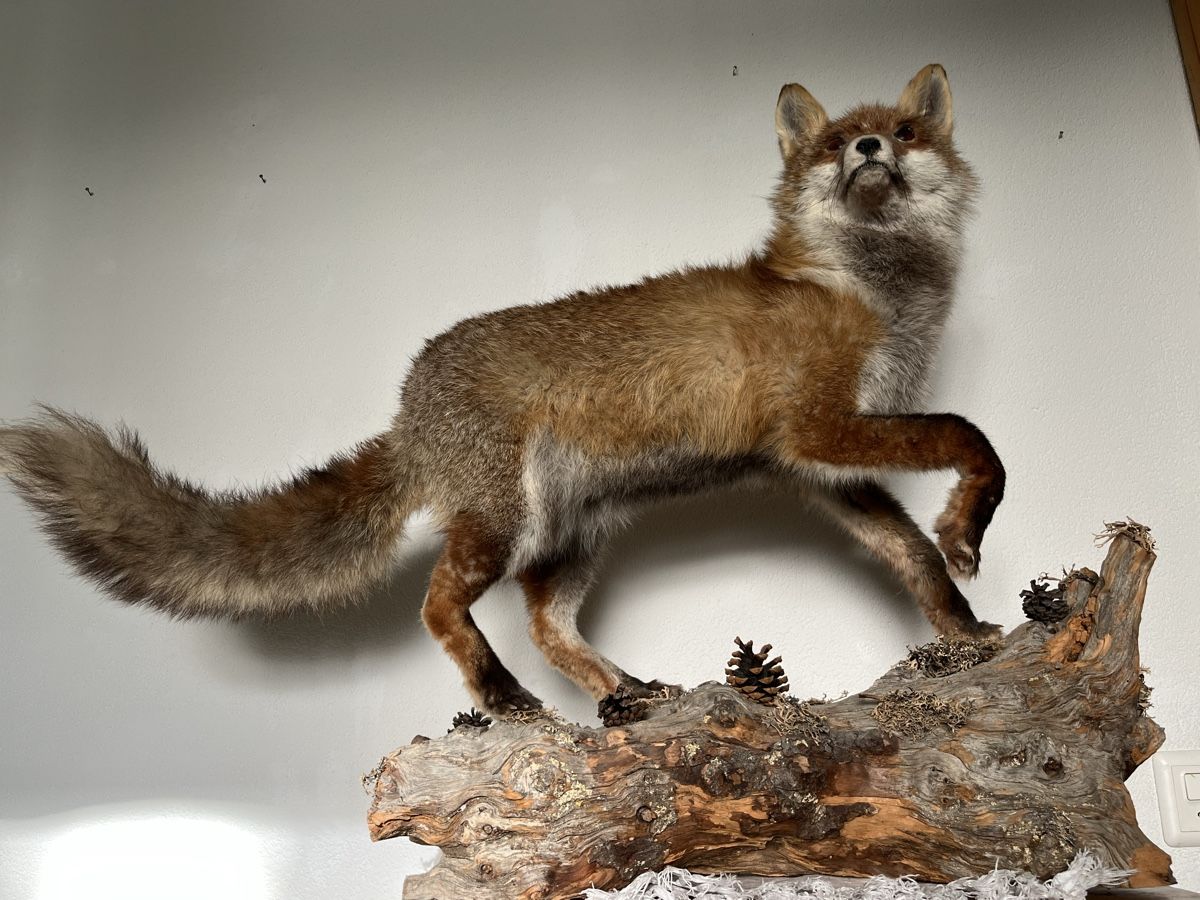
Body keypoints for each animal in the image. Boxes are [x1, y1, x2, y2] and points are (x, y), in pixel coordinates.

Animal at [0, 64, 1004, 717]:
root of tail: (408, 406)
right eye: (834, 145)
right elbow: (971, 437)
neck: (866, 294)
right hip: (501, 522)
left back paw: (622, 693)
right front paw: (970, 527)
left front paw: (967, 630)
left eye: (905, 135)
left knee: (545, 623)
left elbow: (913, 555)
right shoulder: (819, 426)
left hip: (572, 533)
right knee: (440, 605)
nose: (867, 145)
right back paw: (499, 693)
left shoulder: (822, 468)